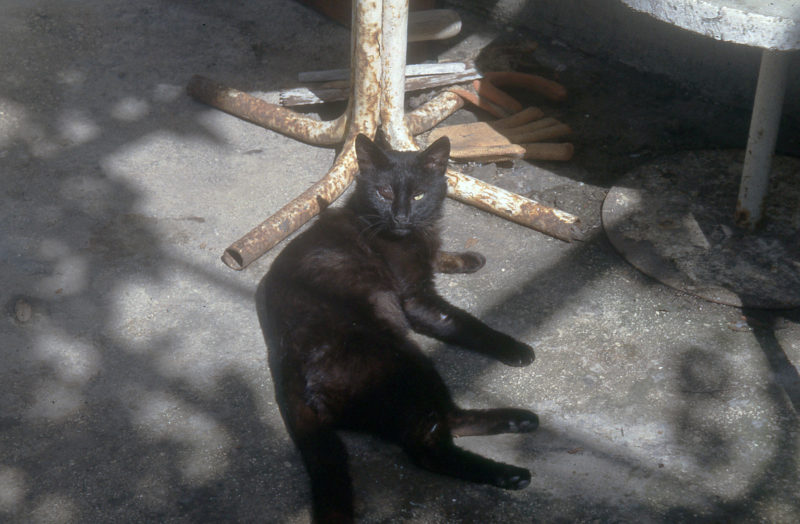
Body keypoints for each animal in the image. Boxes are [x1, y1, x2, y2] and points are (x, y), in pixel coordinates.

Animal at [256, 134, 538, 523]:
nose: (402, 216)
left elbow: (436, 253)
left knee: (452, 421)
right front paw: (515, 349)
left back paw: (519, 421)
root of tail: (287, 370)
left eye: (418, 195)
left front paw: (466, 259)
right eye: (385, 192)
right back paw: (509, 473)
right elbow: (464, 322)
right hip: (407, 361)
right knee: (429, 447)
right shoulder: (416, 299)